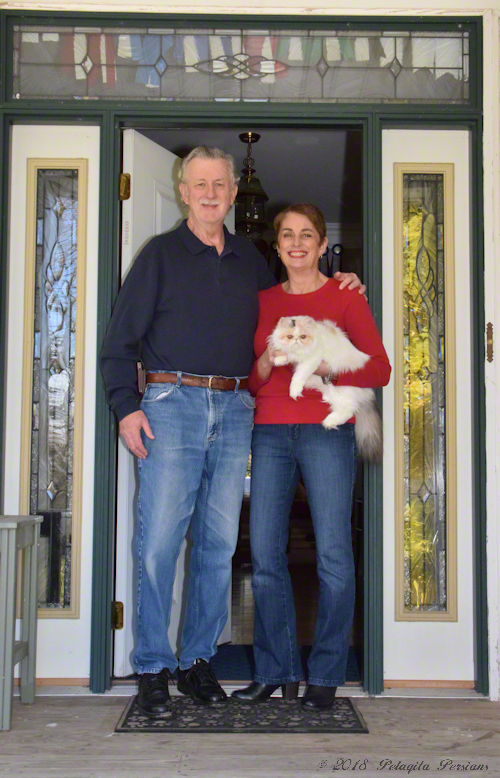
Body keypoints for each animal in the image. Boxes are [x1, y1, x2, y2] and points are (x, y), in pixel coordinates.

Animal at [270, 316, 382, 460]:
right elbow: (287, 355)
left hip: (342, 392)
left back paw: (328, 422)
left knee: (349, 410)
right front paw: (279, 360)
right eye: (289, 336)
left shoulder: (312, 360)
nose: (296, 340)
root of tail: (367, 392)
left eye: (303, 336)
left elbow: (299, 375)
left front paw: (294, 390)